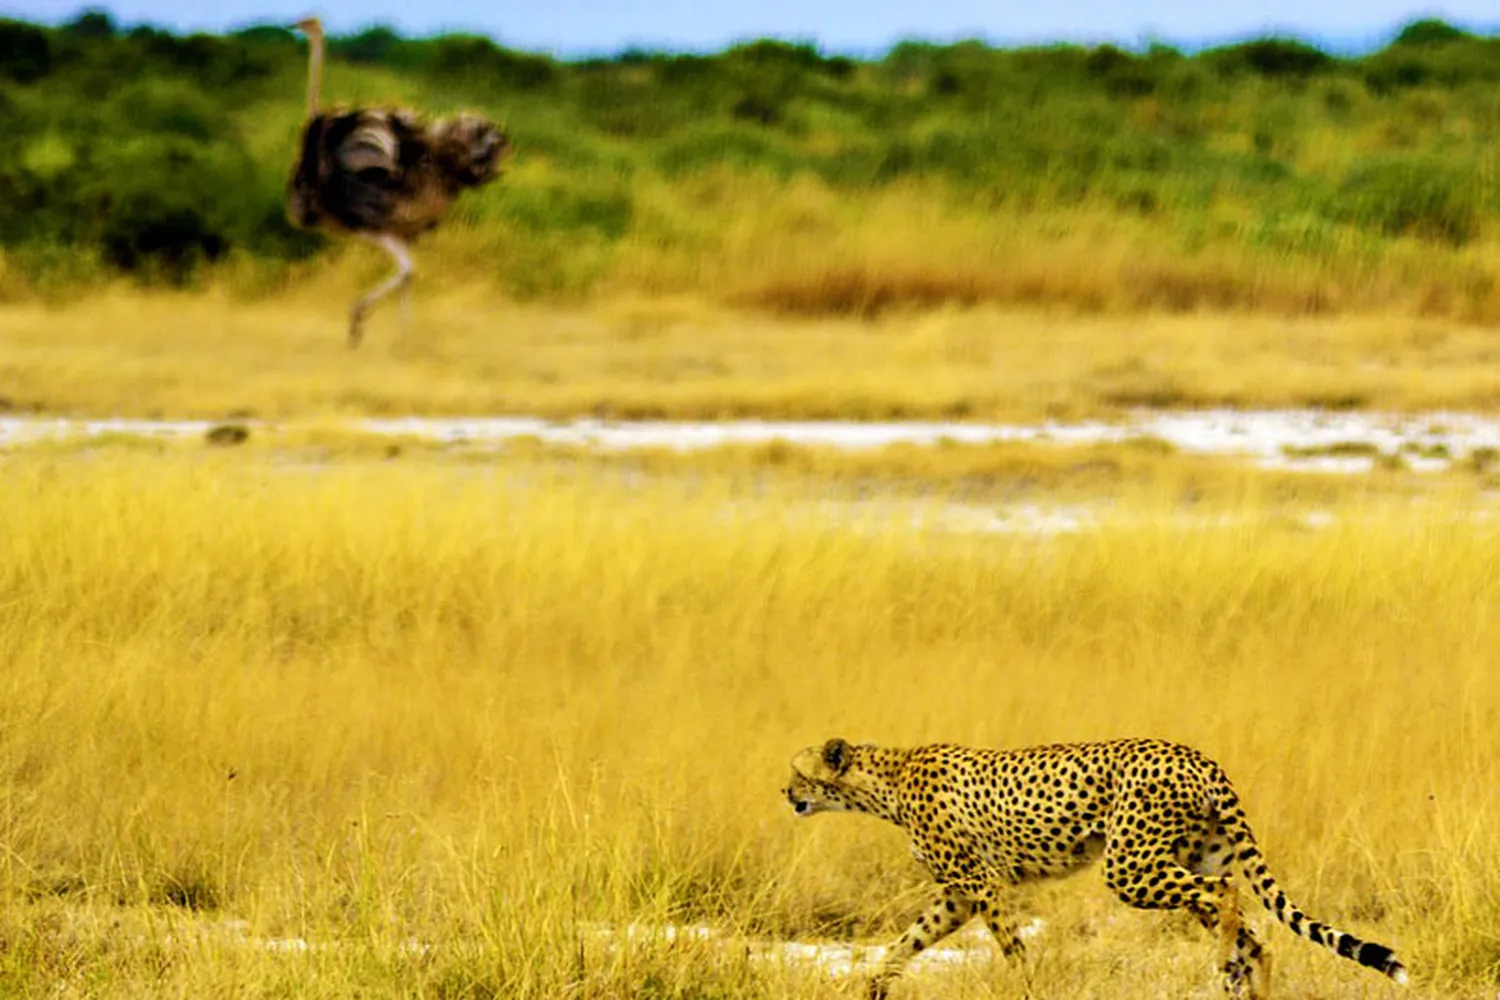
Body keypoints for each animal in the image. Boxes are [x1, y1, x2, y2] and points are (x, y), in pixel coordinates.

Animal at [782, 736, 1407, 999]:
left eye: (797, 771)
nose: (785, 793)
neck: (883, 779)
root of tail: (1197, 756)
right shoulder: (957, 895)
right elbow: (904, 944)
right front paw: (869, 988)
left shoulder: (981, 885)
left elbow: (1013, 952)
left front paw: (1029, 991)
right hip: (1182, 856)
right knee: (1253, 928)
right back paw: (1245, 982)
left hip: (1129, 868)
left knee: (1226, 893)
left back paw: (1225, 965)